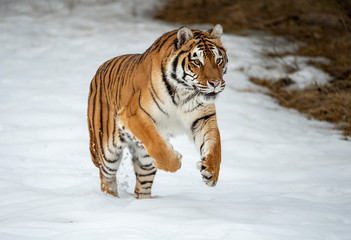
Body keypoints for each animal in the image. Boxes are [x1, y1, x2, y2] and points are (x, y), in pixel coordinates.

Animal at [88, 23, 228, 199]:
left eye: (218, 60)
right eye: (197, 62)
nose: (215, 83)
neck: (183, 92)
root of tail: (98, 70)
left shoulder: (203, 118)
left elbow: (214, 145)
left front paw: (211, 172)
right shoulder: (135, 114)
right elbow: (157, 144)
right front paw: (176, 161)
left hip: (144, 159)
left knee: (142, 185)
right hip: (107, 150)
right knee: (107, 178)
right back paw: (110, 200)